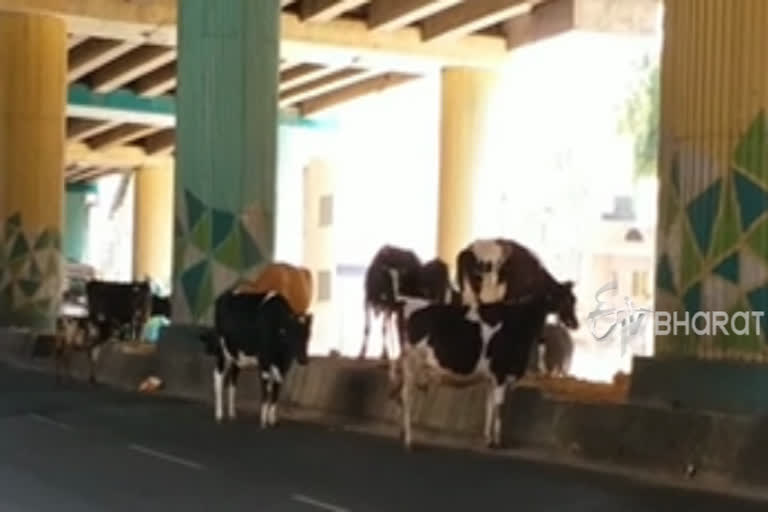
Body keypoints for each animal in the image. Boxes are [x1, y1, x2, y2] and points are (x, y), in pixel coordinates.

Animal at [204, 288, 316, 428]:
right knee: (218, 377)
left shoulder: (281, 367)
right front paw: (263, 422)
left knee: (232, 381)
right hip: (222, 350)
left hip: (237, 356)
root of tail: (225, 294)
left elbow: (275, 392)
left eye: (308, 335)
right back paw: (219, 414)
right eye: (292, 334)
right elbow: (266, 391)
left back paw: (232, 414)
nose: (304, 360)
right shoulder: (264, 361)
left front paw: (272, 420)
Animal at [390, 270, 576, 450]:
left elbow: (490, 407)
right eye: (568, 299)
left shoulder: (491, 378)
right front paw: (497, 442)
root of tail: (403, 302)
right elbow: (499, 407)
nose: (575, 323)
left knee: (397, 395)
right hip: (412, 363)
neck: (519, 323)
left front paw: (488, 439)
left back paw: (401, 433)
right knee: (405, 396)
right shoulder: (501, 374)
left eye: (574, 299)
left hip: (401, 365)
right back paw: (408, 440)